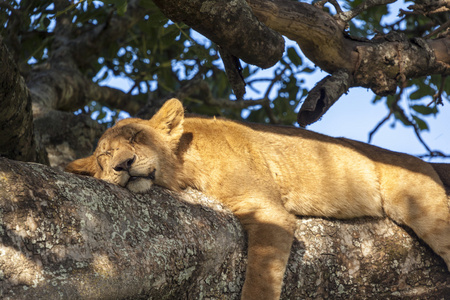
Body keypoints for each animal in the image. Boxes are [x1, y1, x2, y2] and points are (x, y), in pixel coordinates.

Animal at [67, 98, 450, 298]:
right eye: (104, 156)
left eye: (135, 137)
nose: (123, 165)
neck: (184, 164)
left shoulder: (268, 210)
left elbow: (261, 276)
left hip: (424, 207)